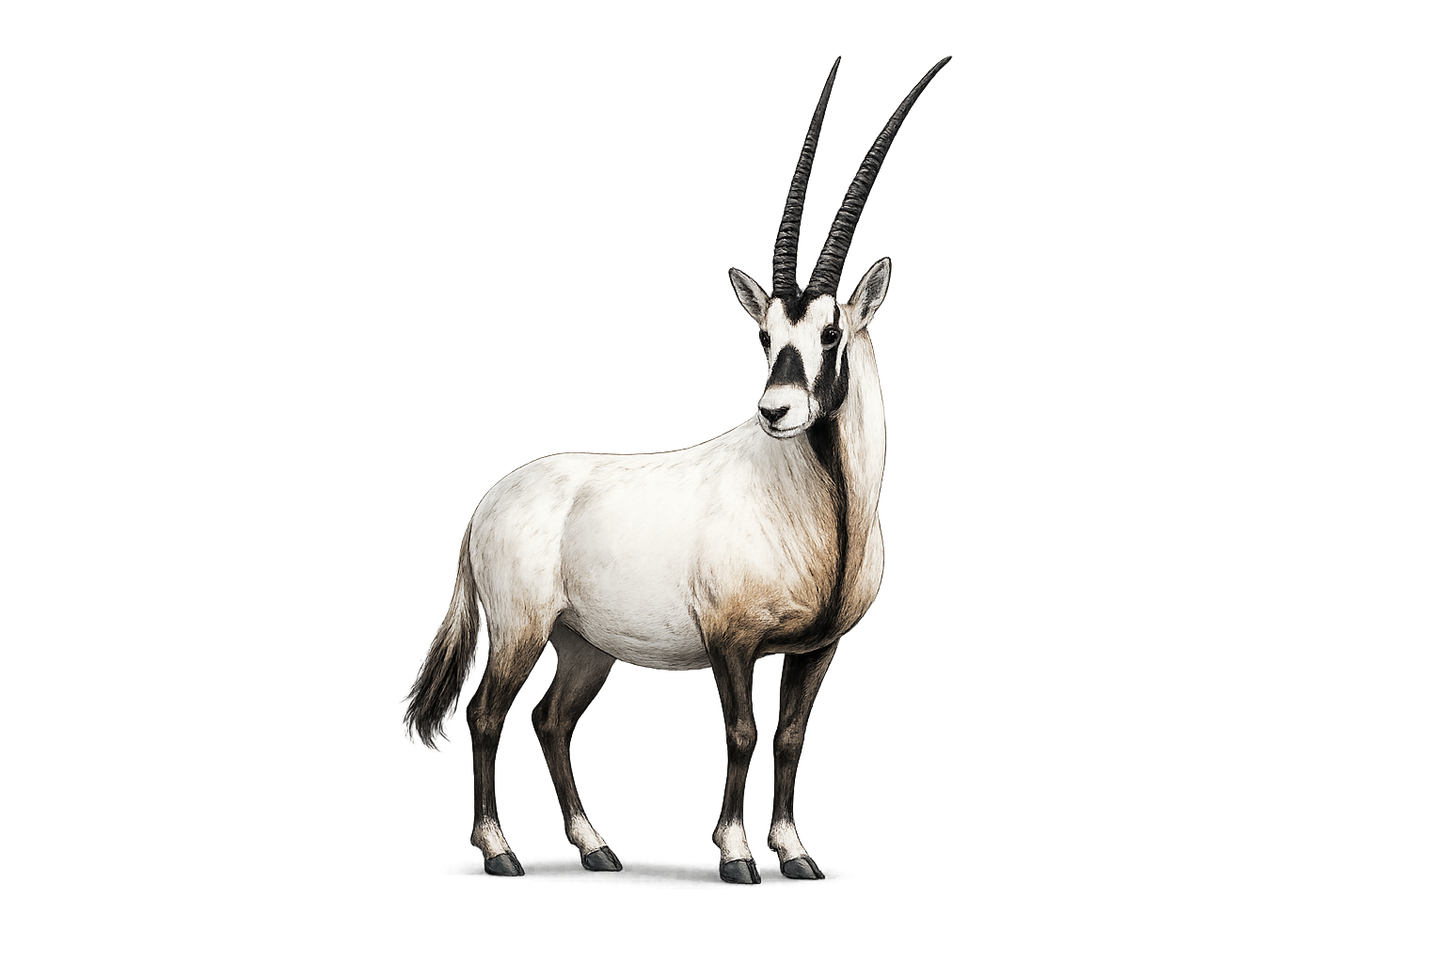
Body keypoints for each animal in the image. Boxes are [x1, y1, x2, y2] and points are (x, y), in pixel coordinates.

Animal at [396, 50, 956, 884]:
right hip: (522, 628)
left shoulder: (817, 650)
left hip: (584, 645)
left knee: (550, 720)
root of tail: (492, 497)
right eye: (765, 333)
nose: (775, 411)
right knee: (490, 713)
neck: (822, 511)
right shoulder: (731, 640)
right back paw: (499, 851)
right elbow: (743, 734)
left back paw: (596, 847)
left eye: (829, 333)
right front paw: (735, 855)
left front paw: (794, 853)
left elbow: (790, 739)